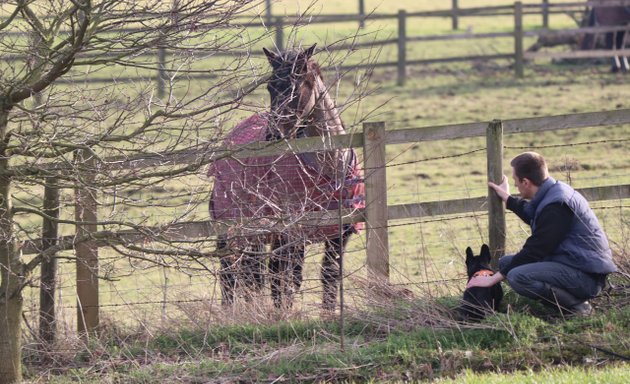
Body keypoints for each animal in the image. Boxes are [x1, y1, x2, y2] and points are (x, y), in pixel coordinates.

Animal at [209, 44, 366, 312]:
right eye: (270, 87)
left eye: (295, 86)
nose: (272, 135)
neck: (329, 171)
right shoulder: (293, 233)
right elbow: (289, 279)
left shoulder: (339, 234)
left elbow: (330, 274)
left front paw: (328, 314)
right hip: (235, 228)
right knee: (233, 272)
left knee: (255, 273)